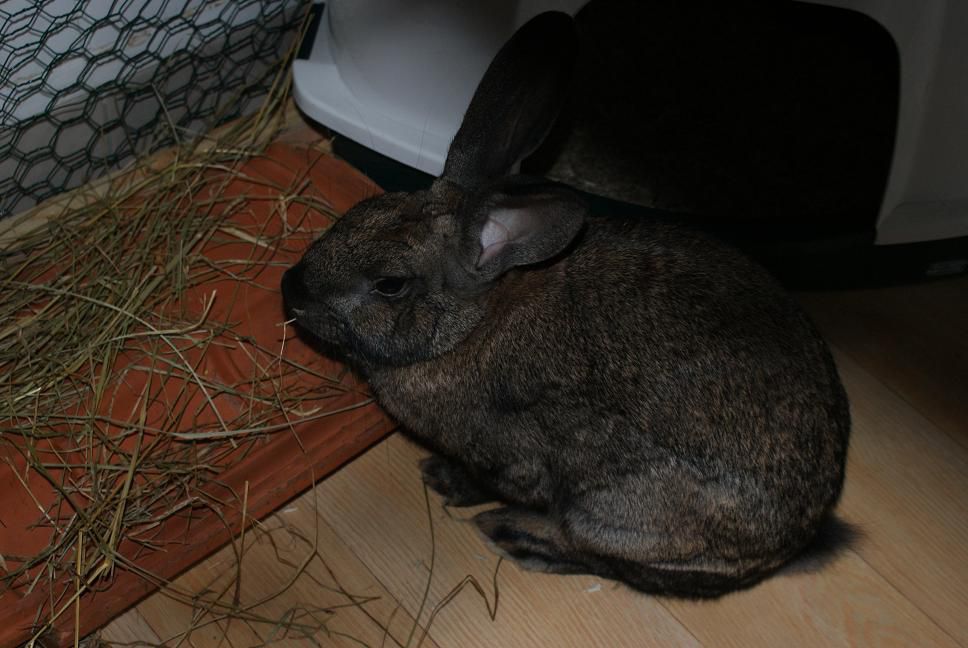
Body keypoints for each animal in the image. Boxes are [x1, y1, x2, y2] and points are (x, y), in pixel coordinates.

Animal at [280, 11, 848, 596]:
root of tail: (794, 540)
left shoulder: (513, 458)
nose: (290, 288)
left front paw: (444, 479)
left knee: (611, 556)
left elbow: (496, 480)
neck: (470, 326)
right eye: (364, 209)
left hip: (616, 508)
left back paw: (517, 537)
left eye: (390, 285)